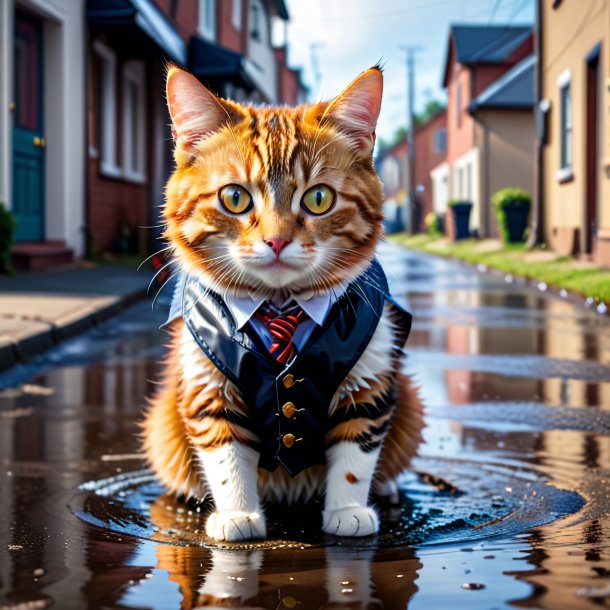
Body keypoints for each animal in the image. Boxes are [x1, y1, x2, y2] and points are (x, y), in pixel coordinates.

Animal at [141, 65, 422, 540]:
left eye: (319, 198)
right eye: (234, 197)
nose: (276, 240)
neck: (280, 304)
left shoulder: (368, 381)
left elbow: (356, 450)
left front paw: (348, 510)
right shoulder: (208, 387)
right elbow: (225, 455)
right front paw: (237, 514)